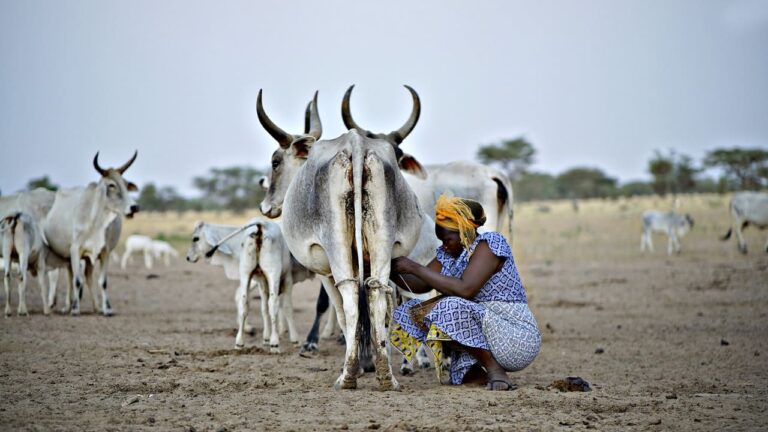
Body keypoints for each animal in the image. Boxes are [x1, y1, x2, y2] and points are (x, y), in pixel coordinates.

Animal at [42, 154, 138, 316]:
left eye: (125, 184)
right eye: (111, 185)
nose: (134, 207)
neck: (96, 221)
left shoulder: (105, 252)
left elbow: (103, 281)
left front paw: (107, 309)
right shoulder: (74, 250)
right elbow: (77, 281)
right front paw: (75, 309)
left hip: (86, 258)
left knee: (85, 276)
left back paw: (95, 307)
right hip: (66, 254)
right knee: (69, 276)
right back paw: (67, 306)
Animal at [186, 219, 304, 352]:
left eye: (195, 238)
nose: (188, 257)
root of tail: (260, 225)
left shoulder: (264, 280)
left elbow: (266, 308)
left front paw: (267, 336)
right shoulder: (283, 278)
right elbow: (283, 307)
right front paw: (291, 339)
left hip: (246, 273)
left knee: (246, 304)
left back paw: (240, 343)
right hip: (272, 273)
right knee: (272, 304)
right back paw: (274, 343)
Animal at [260, 89, 424, 390]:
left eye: (275, 161)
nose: (266, 207)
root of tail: (355, 146)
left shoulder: (323, 267)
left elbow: (336, 308)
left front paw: (355, 362)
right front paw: (369, 360)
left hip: (334, 247)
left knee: (348, 297)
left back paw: (347, 376)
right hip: (383, 243)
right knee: (376, 294)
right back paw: (386, 375)